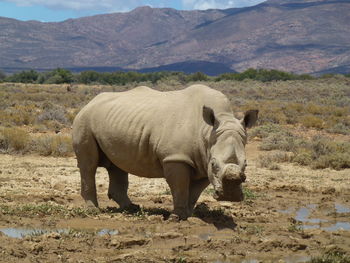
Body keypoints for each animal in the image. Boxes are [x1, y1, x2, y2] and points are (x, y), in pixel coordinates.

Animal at [72, 85, 258, 220]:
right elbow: (180, 186)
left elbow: (195, 192)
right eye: (214, 164)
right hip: (84, 120)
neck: (207, 132)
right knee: (88, 165)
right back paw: (93, 211)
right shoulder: (176, 157)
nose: (230, 196)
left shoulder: (202, 162)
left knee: (118, 164)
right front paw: (176, 217)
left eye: (246, 164)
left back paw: (131, 208)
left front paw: (188, 214)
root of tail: (89, 102)